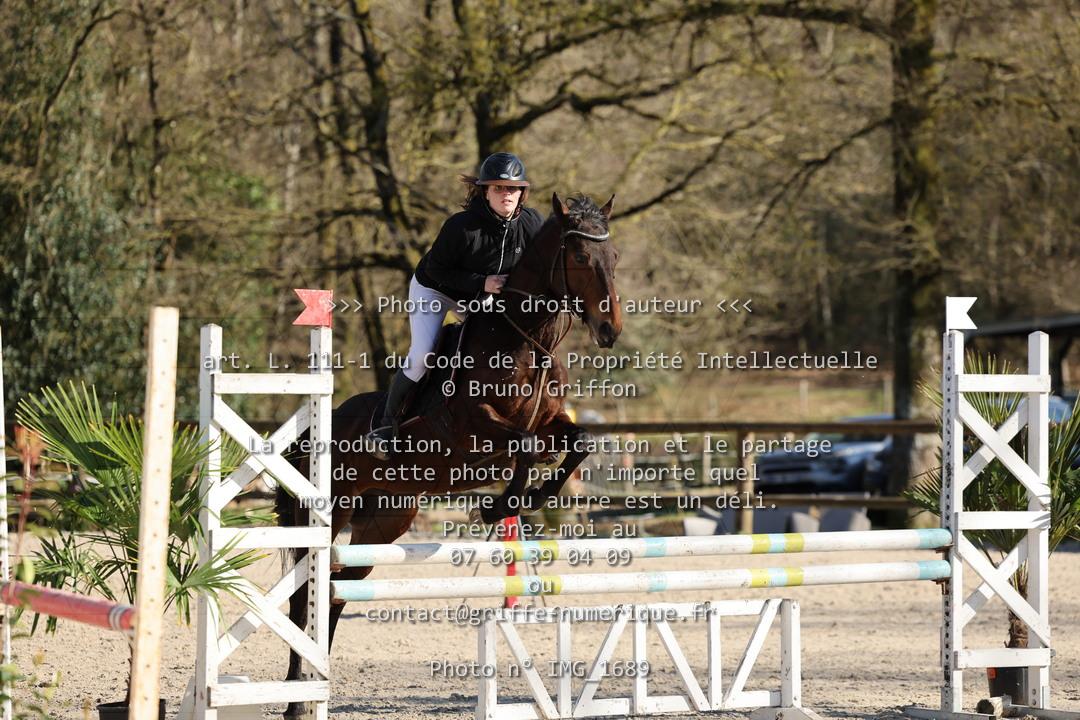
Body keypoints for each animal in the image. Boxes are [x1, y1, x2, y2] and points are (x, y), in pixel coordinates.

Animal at [277, 192, 622, 717]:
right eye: (581, 256)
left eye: (614, 257)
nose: (610, 330)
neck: (525, 341)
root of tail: (316, 429)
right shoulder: (471, 427)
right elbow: (524, 447)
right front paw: (499, 506)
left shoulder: (549, 423)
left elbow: (576, 442)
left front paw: (526, 498)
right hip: (330, 509)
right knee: (306, 599)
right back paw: (297, 699)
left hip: (384, 521)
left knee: (337, 592)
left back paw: (318, 686)